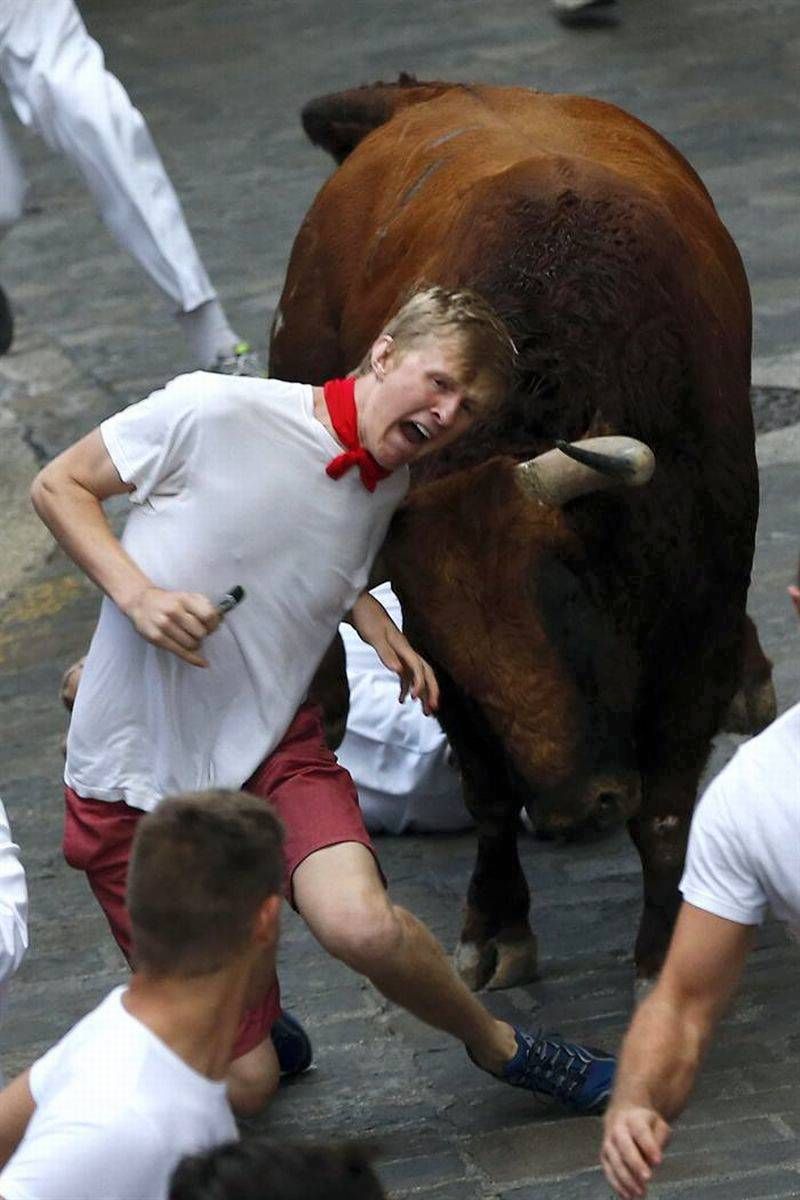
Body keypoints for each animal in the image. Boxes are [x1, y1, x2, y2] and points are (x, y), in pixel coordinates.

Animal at [271, 79, 767, 988]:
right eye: (445, 640)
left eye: (565, 599)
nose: (579, 806)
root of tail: (427, 96)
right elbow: (491, 795)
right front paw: (497, 925)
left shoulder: (699, 623)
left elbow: (667, 811)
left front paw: (661, 950)